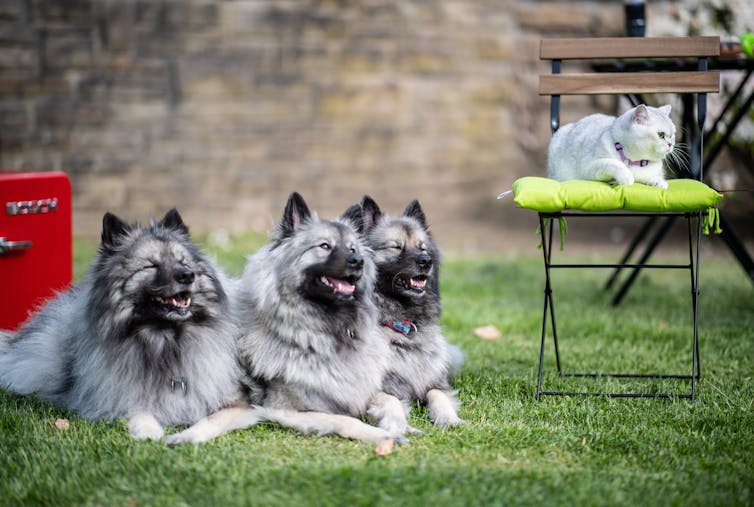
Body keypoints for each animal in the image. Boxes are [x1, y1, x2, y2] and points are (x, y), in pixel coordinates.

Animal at [0, 208, 242, 438]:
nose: (187, 275)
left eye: (182, 262)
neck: (163, 340)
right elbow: (138, 410)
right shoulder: (114, 396)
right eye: (151, 266)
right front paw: (149, 430)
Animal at [167, 192, 408, 446]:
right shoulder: (288, 409)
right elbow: (345, 420)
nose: (358, 260)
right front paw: (383, 435)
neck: (322, 333)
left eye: (353, 248)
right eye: (324, 246)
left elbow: (389, 398)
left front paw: (396, 424)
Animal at [356, 196, 462, 426]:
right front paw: (396, 424)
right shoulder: (372, 392)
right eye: (396, 247)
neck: (402, 326)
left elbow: (438, 395)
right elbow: (391, 400)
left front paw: (448, 418)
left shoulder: (435, 383)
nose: (426, 261)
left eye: (423, 248)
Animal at [548, 103, 676, 190]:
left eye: (672, 135)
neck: (634, 162)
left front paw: (660, 182)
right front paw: (626, 177)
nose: (670, 144)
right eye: (661, 135)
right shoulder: (590, 166)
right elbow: (613, 163)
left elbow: (654, 176)